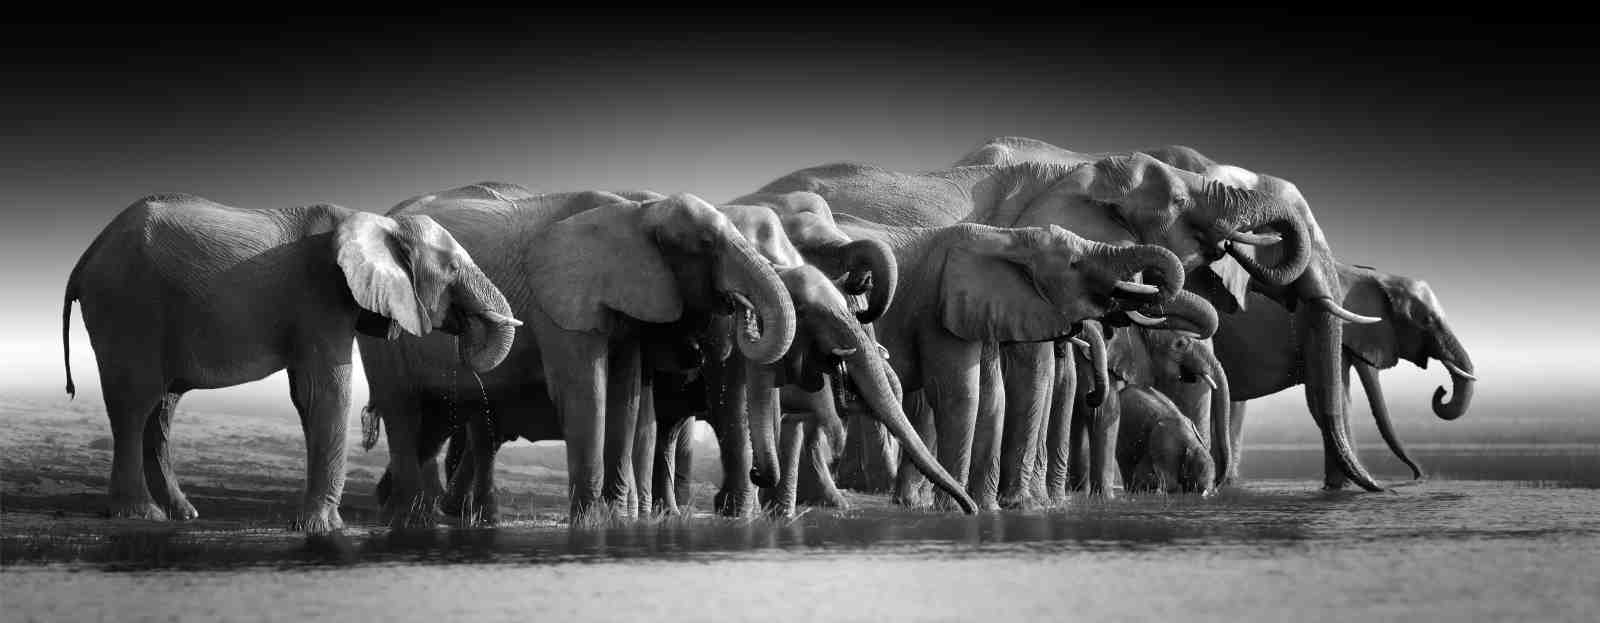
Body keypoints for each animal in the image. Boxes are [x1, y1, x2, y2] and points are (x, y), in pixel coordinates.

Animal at [60, 193, 520, 533]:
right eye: (453, 268)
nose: (465, 332)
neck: (375, 221)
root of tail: (88, 253)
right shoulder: (321, 296)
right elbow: (327, 391)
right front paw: (324, 529)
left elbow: (306, 395)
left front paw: (315, 526)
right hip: (128, 307)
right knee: (135, 403)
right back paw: (141, 516)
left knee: (162, 410)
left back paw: (182, 514)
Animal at [358, 188, 797, 525]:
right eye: (705, 245)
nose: (740, 310)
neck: (637, 212)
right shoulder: (559, 306)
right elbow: (586, 393)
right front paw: (590, 523)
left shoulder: (629, 309)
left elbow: (626, 397)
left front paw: (618, 518)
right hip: (382, 322)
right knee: (402, 409)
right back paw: (410, 518)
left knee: (435, 424)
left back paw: (403, 510)